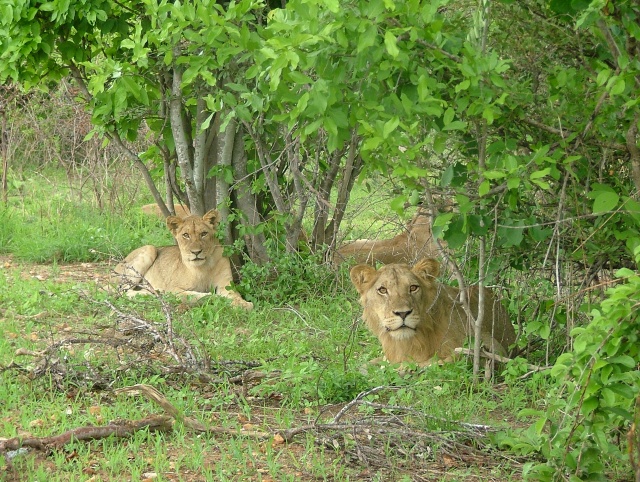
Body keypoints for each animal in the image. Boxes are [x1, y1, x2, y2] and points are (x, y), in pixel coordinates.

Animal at [112, 209, 253, 309]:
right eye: (186, 235)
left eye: (204, 234)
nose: (196, 252)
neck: (203, 268)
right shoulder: (173, 289)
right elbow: (193, 296)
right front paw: (214, 297)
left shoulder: (225, 285)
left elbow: (235, 295)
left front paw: (244, 304)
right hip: (149, 249)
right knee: (121, 292)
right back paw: (154, 292)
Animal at [350, 258, 515, 366]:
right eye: (383, 290)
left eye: (413, 288)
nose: (403, 313)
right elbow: (365, 365)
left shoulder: (492, 346)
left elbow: (438, 360)